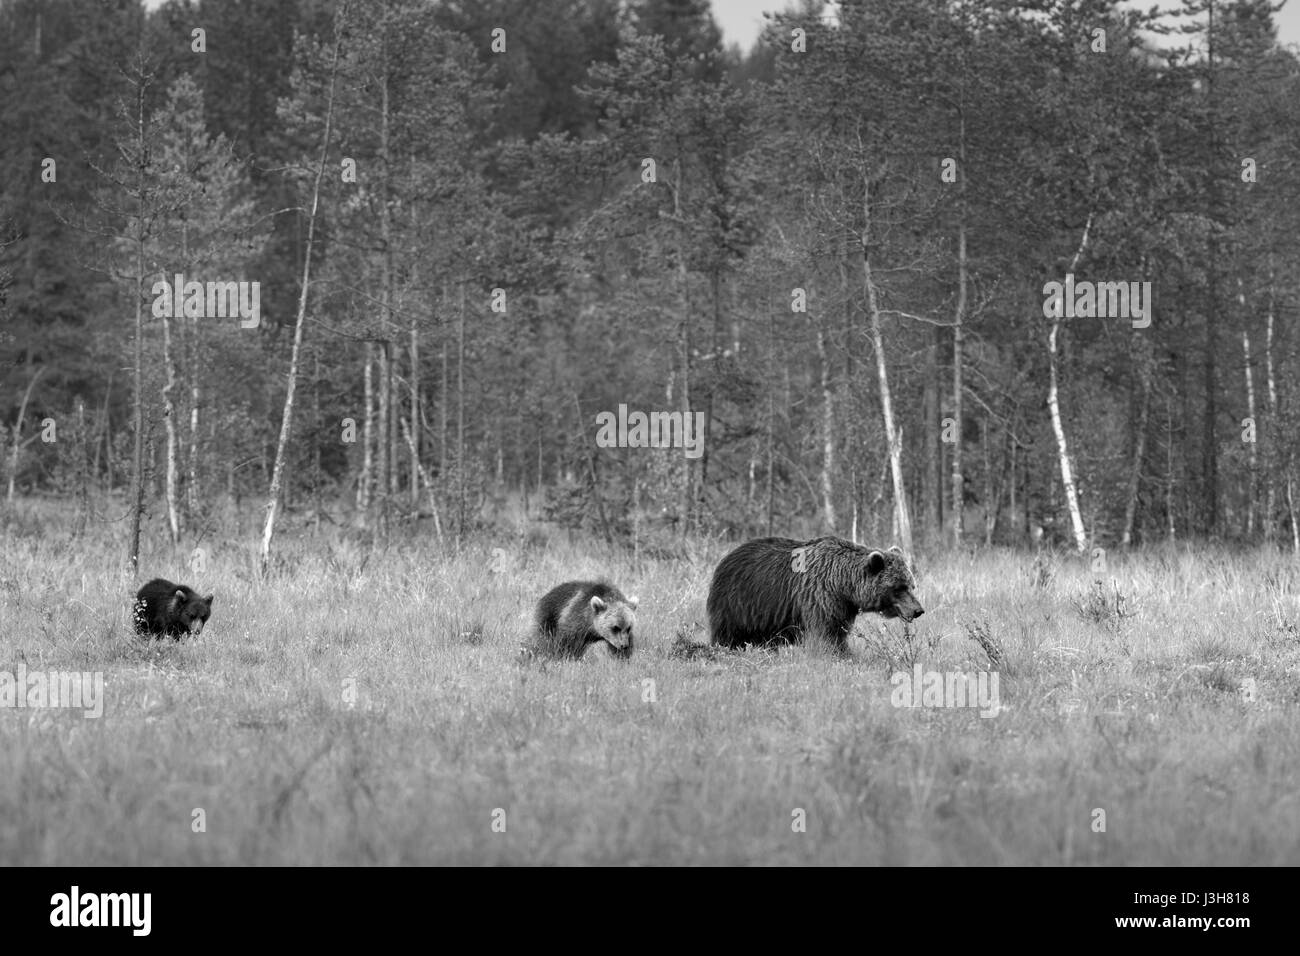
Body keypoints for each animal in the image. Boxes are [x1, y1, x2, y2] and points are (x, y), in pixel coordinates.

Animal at [707, 538, 920, 650]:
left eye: (912, 585)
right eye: (899, 587)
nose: (919, 610)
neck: (843, 585)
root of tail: (727, 557)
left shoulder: (844, 606)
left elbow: (838, 629)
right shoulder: (820, 596)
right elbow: (827, 632)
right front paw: (839, 653)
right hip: (740, 601)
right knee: (729, 630)